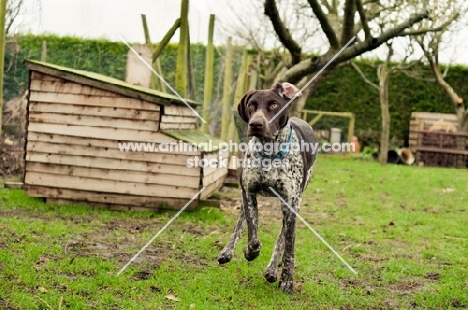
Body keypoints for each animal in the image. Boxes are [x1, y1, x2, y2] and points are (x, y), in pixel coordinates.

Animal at [218, 81, 318, 292]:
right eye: (251, 105)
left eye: (273, 105)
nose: (256, 124)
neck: (269, 153)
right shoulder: (248, 192)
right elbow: (253, 233)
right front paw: (249, 251)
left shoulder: (290, 203)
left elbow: (288, 248)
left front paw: (287, 280)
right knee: (241, 221)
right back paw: (227, 252)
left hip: (295, 203)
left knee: (282, 236)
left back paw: (272, 270)